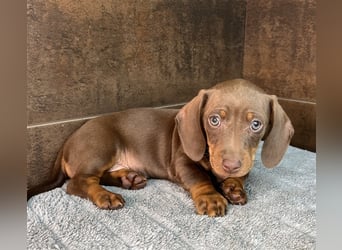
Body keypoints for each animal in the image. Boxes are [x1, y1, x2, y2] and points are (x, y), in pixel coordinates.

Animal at [27, 78, 294, 217]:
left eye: (256, 124)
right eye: (214, 120)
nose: (230, 165)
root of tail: (68, 141)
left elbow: (242, 175)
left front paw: (234, 186)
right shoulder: (183, 161)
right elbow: (200, 178)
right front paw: (211, 197)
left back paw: (128, 179)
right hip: (100, 147)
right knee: (78, 182)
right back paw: (106, 196)